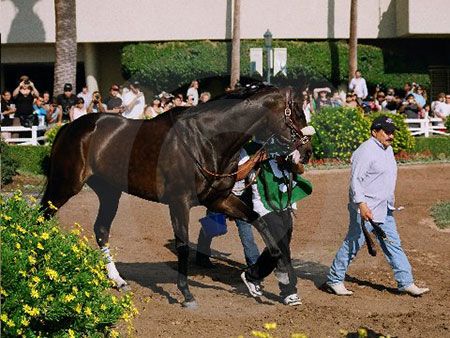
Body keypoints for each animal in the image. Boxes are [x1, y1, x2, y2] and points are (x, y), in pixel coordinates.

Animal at [43, 83, 316, 308]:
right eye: (297, 113)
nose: (307, 152)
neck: (205, 140)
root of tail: (68, 128)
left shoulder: (219, 199)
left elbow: (260, 222)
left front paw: (270, 274)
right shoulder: (179, 202)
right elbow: (183, 245)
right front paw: (186, 294)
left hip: (109, 191)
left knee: (101, 229)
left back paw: (118, 280)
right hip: (65, 185)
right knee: (43, 217)